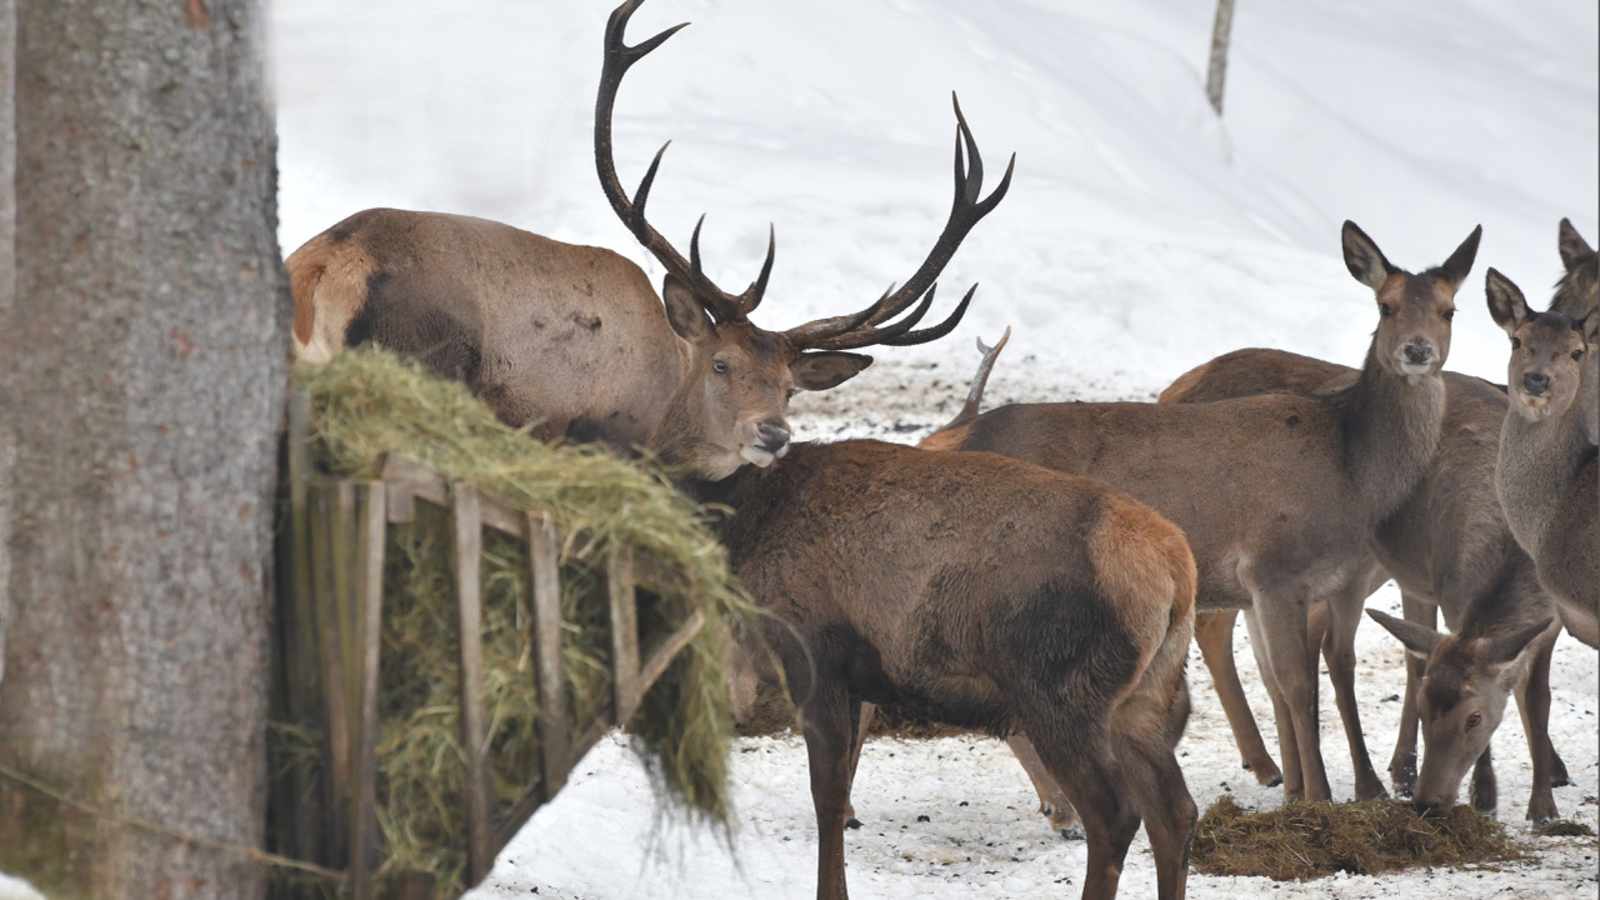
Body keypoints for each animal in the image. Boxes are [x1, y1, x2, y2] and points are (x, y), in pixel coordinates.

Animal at [288, 0, 1011, 477]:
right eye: (722, 363)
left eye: (790, 386)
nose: (773, 434)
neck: (666, 406)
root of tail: (330, 264)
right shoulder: (586, 435)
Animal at [707, 435, 1196, 896]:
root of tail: (1177, 571)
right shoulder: (853, 683)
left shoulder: (814, 659)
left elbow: (826, 797)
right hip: (1145, 698)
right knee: (1176, 811)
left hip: (1062, 695)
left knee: (1116, 815)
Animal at [921, 217, 1478, 797]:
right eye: (1385, 306)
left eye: (1449, 309)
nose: (1417, 351)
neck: (1350, 469)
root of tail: (953, 439)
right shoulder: (1273, 568)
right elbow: (1297, 684)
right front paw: (1322, 797)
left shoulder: (1310, 585)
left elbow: (1292, 679)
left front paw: (1300, 791)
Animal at [1158, 344, 1568, 819]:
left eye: (1473, 719)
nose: (1430, 804)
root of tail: (1171, 390)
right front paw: (1484, 792)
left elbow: (1534, 693)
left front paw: (1544, 797)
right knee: (1249, 633)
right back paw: (1296, 770)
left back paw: (1286, 771)